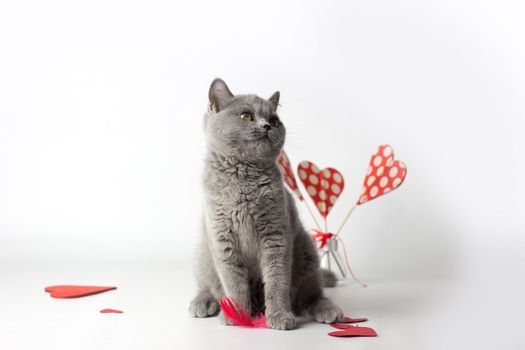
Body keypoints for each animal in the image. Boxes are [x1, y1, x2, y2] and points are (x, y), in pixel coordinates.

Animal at [189, 79, 344, 330]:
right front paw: (237, 315)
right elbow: (233, 282)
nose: (267, 126)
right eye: (246, 116)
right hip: (203, 251)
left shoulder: (276, 235)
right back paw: (203, 302)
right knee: (207, 285)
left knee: (311, 295)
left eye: (274, 120)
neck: (243, 176)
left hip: (306, 251)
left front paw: (279, 315)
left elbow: (277, 280)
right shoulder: (222, 237)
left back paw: (329, 310)